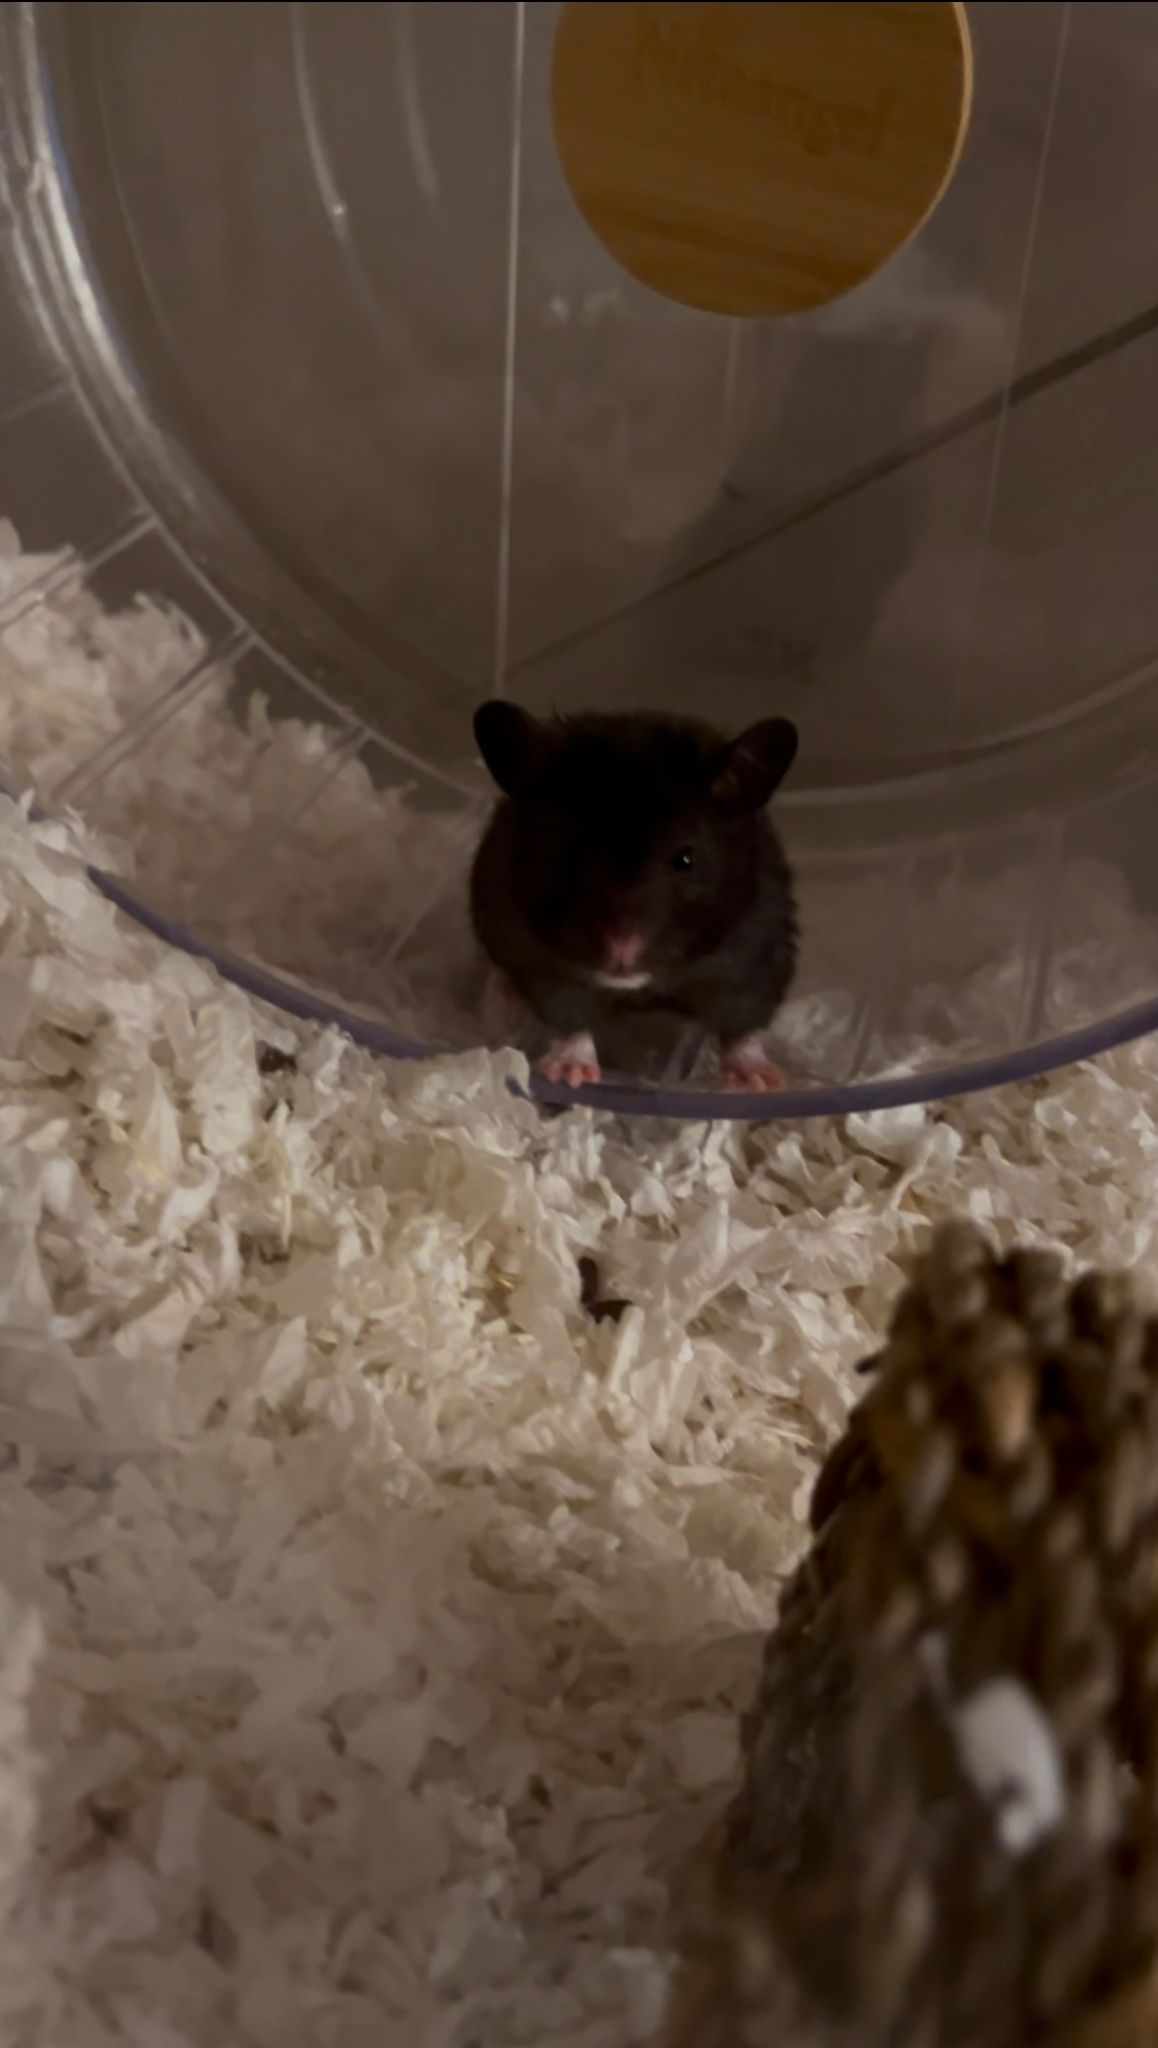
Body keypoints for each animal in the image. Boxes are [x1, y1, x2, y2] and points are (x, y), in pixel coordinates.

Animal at [470, 702, 799, 1090]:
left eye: (685, 859)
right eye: (568, 853)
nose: (620, 954)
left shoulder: (757, 954)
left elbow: (742, 1025)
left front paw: (760, 1080)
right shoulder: (543, 966)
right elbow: (570, 1019)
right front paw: (569, 1075)